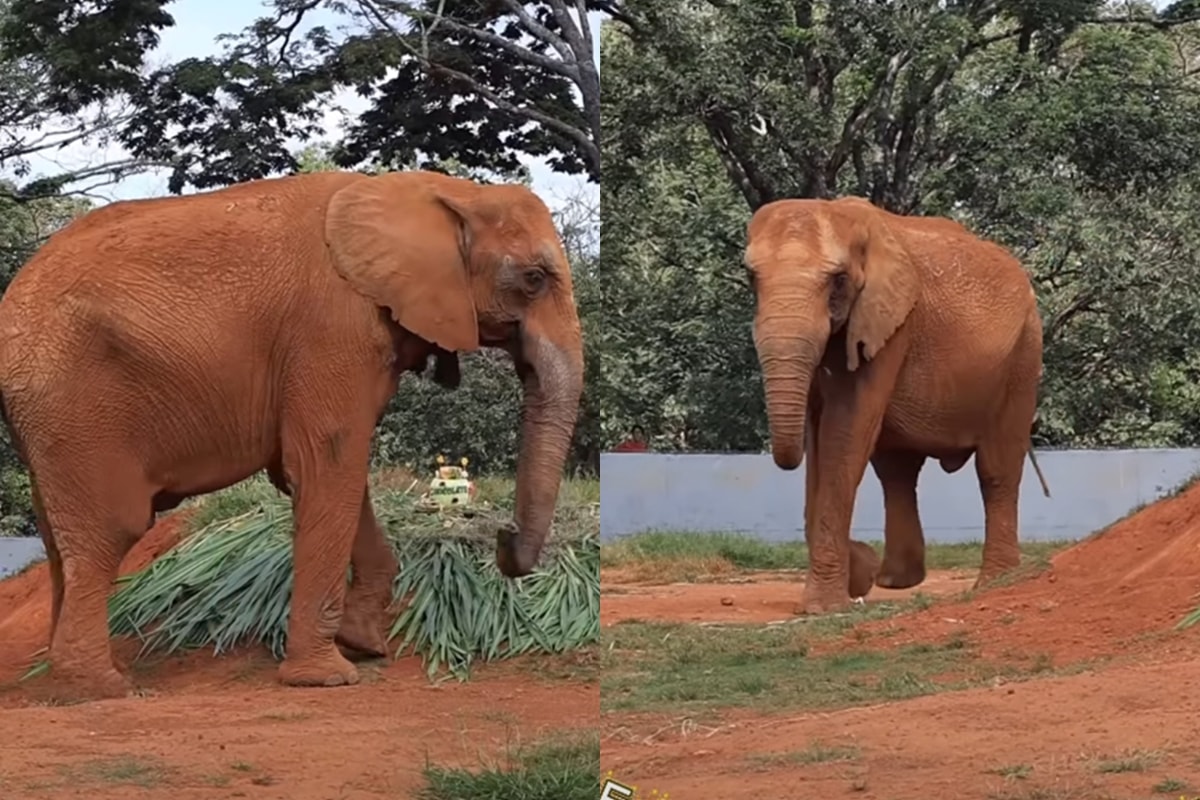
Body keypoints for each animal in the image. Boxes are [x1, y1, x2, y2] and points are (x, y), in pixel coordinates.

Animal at [0, 169, 584, 698]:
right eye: (534, 278)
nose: (503, 538)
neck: (443, 190)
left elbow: (323, 473)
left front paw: (364, 647)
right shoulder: (333, 329)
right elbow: (325, 468)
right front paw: (327, 678)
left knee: (61, 536)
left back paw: (66, 676)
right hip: (75, 402)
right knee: (113, 526)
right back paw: (101, 687)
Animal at [743, 196, 1046, 614]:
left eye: (838, 280)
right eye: (750, 279)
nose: (863, 563)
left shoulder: (888, 325)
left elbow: (844, 433)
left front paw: (824, 606)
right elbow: (821, 435)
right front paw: (856, 578)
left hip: (1023, 355)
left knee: (996, 468)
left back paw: (994, 583)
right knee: (896, 469)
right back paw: (896, 582)